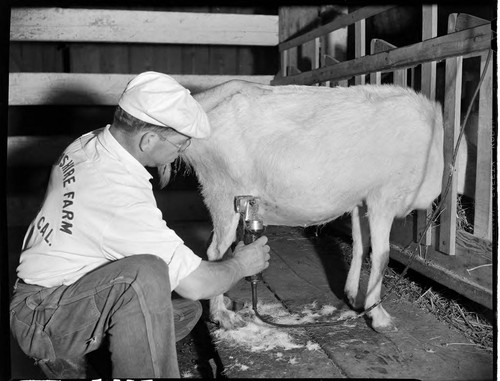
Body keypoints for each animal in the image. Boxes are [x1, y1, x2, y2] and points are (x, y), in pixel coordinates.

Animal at [174, 81, 448, 332]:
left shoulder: (361, 201)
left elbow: (360, 246)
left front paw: (353, 296)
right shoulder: (384, 197)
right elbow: (382, 255)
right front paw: (379, 317)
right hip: (223, 190)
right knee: (215, 251)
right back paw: (222, 315)